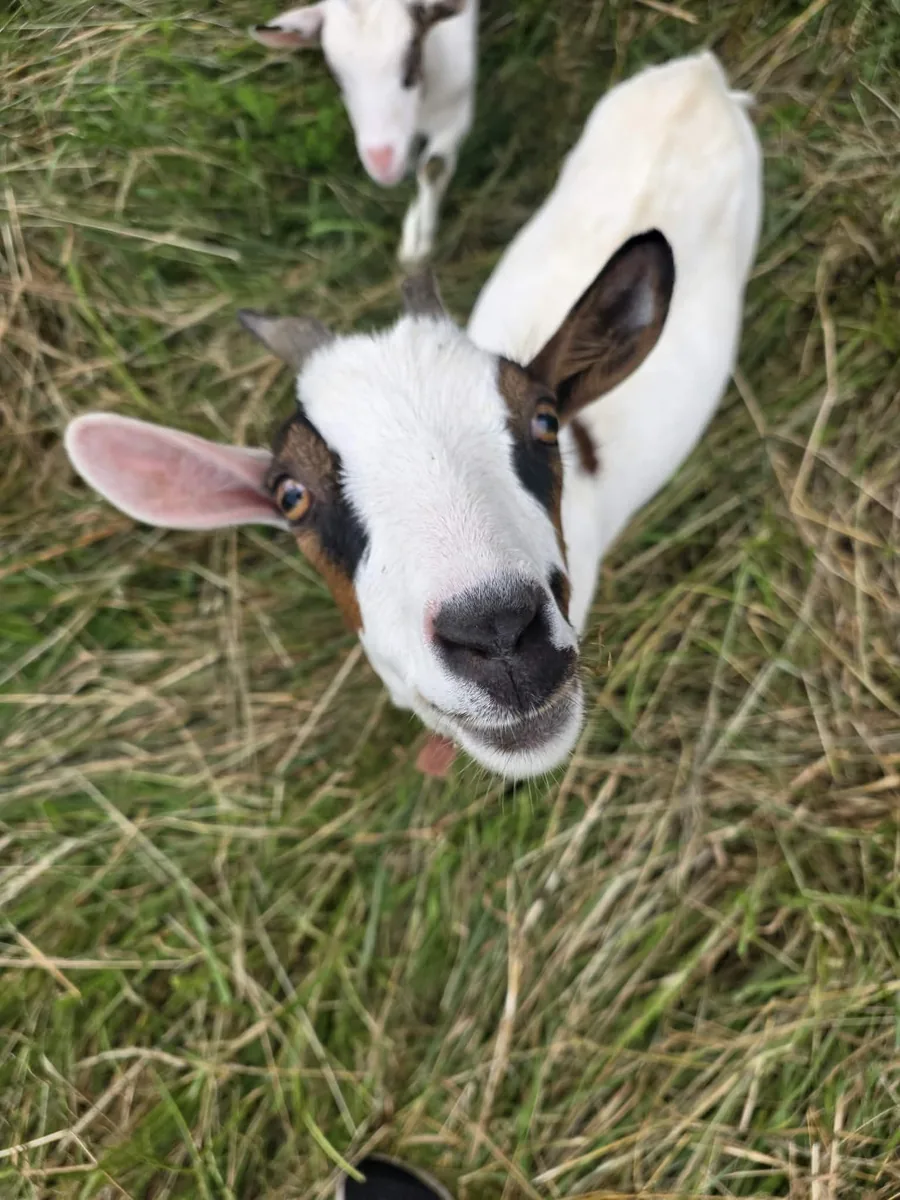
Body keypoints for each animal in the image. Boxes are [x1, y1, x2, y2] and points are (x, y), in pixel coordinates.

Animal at [250, 0, 478, 263]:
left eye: (411, 56)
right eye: (337, 76)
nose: (382, 163)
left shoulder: (454, 110)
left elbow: (433, 167)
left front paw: (419, 245)